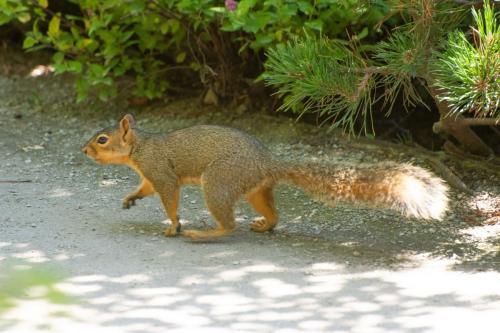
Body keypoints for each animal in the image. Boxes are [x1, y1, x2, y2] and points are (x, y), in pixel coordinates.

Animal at [81, 114, 450, 239]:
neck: (140, 148)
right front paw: (130, 198)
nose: (84, 150)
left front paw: (173, 226)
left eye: (103, 140)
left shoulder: (161, 172)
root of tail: (266, 163)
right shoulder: (150, 175)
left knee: (229, 225)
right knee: (273, 213)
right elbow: (144, 188)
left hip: (218, 181)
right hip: (254, 189)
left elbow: (169, 199)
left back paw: (204, 234)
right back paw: (264, 224)